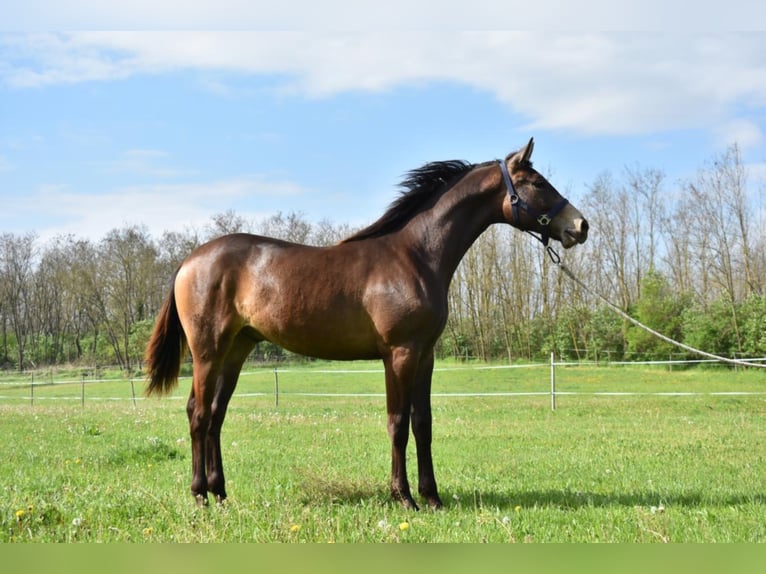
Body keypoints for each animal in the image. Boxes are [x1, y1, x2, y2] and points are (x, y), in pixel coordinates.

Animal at [145, 138, 589, 510]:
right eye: (536, 182)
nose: (580, 226)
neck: (415, 255)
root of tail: (189, 261)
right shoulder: (399, 354)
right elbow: (398, 423)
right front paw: (404, 497)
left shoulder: (424, 356)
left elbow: (423, 424)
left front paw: (433, 497)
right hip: (208, 353)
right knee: (199, 415)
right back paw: (200, 495)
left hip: (236, 351)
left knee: (215, 415)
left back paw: (220, 493)